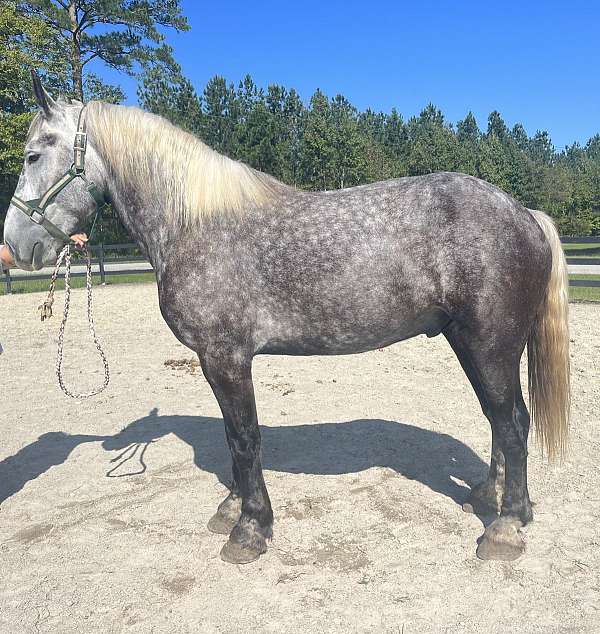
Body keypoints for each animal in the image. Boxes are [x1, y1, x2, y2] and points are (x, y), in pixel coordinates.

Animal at [2, 74, 568, 564]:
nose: (16, 246)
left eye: (33, 154)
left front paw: (250, 528)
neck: (196, 224)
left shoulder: (225, 359)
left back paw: (507, 526)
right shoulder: (219, 363)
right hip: (476, 345)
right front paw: (232, 507)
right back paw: (487, 497)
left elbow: (245, 438)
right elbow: (234, 440)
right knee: (499, 420)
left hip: (488, 344)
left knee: (513, 423)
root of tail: (525, 215)